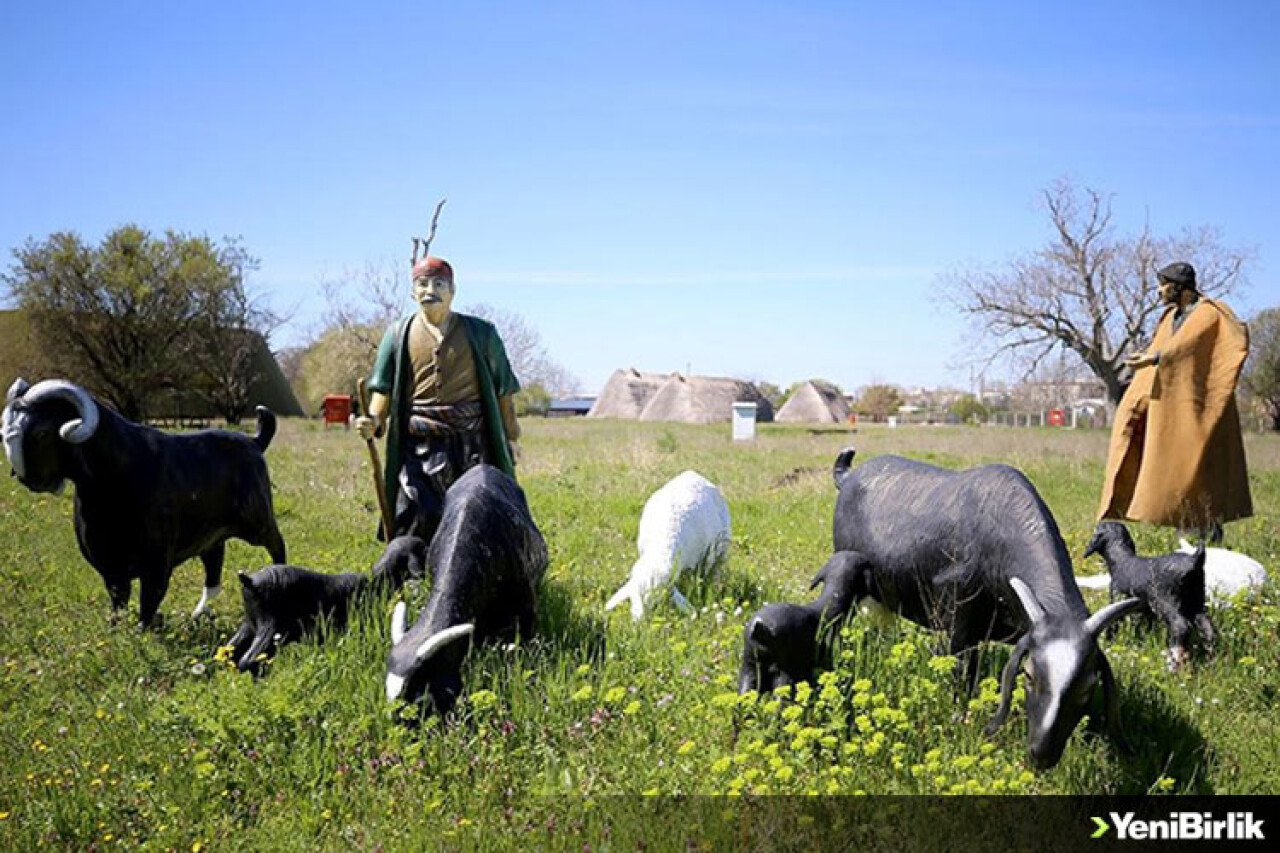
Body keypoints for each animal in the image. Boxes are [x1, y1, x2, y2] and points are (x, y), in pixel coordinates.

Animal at [0, 379, 285, 625]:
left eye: (41, 433)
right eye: (4, 428)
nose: (26, 477)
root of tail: (254, 442)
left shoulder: (157, 561)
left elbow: (150, 600)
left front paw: (142, 631)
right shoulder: (110, 566)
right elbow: (119, 599)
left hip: (258, 521)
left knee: (276, 545)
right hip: (211, 535)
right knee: (213, 570)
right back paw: (198, 613)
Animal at [834, 448, 1146, 768]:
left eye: (1087, 687)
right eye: (1029, 675)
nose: (1041, 754)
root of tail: (849, 477)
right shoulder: (958, 625)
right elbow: (962, 676)